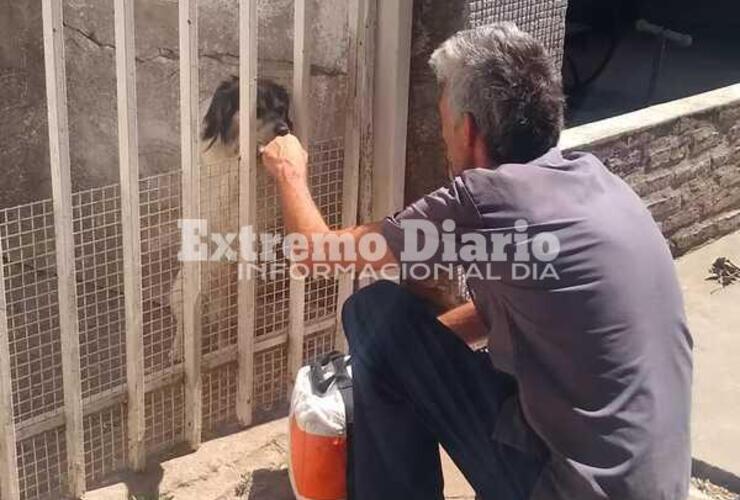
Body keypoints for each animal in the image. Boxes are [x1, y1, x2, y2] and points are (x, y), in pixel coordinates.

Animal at [169, 76, 294, 362]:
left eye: (281, 109)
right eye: (256, 110)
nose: (284, 130)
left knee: (224, 329)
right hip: (184, 290)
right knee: (185, 324)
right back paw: (179, 350)